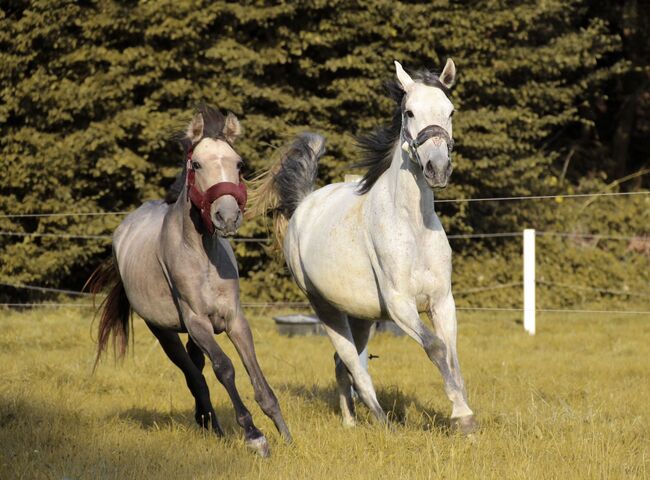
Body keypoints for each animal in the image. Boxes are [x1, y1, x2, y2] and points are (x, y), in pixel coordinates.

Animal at [88, 106, 288, 458]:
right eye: (196, 165)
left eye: (239, 164)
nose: (227, 216)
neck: (202, 256)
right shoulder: (197, 323)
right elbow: (224, 368)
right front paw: (254, 435)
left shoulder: (234, 320)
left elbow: (255, 372)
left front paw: (285, 434)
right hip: (164, 330)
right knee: (194, 375)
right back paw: (212, 426)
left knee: (197, 367)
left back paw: (208, 423)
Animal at [253, 58, 476, 434]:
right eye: (410, 112)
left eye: (450, 110)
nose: (438, 168)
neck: (412, 225)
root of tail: (303, 205)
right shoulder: (400, 305)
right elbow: (435, 348)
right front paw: (462, 416)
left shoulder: (442, 300)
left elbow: (452, 354)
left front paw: (464, 415)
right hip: (326, 309)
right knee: (353, 365)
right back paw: (384, 423)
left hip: (361, 316)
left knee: (342, 364)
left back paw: (350, 421)